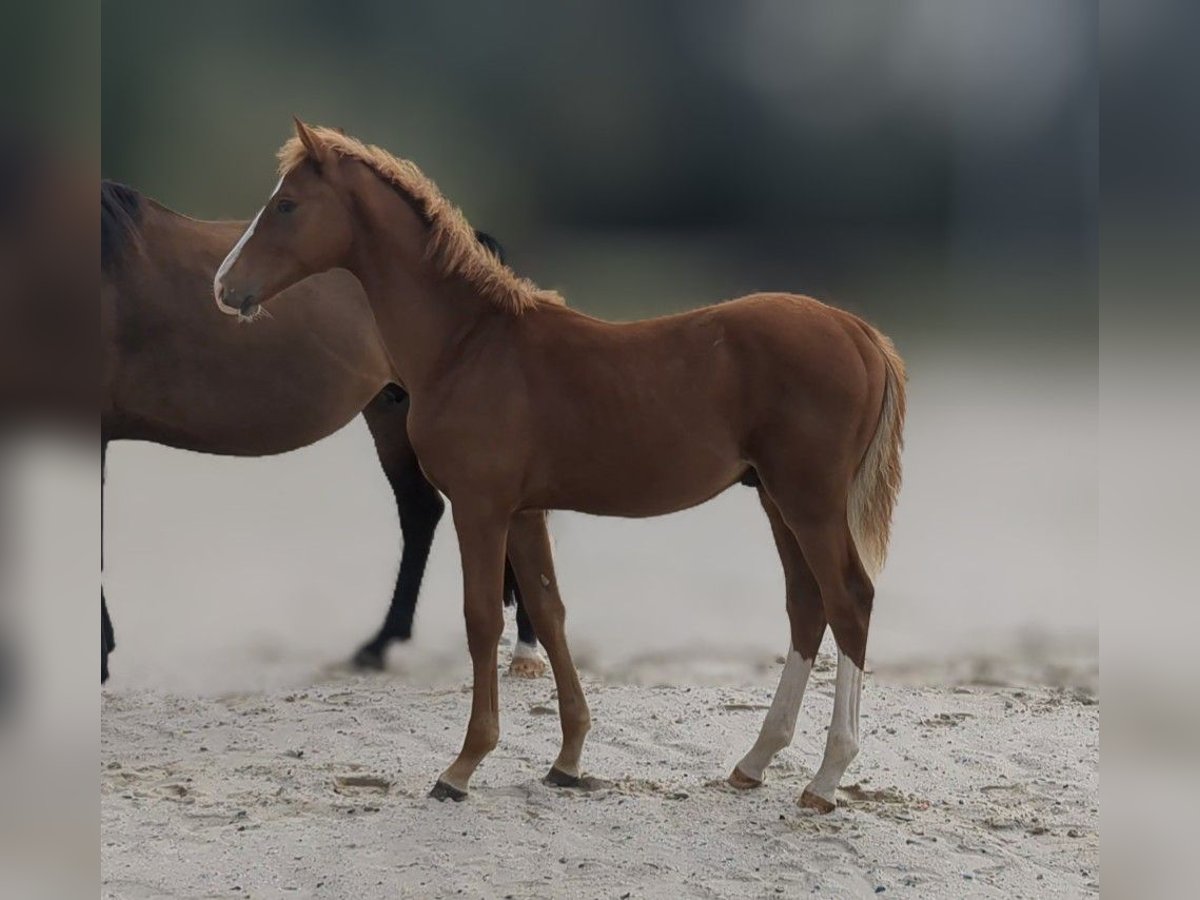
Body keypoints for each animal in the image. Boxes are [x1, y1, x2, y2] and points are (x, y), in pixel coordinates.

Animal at [218, 121, 907, 816]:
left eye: (286, 205)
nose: (225, 287)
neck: (468, 345)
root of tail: (857, 331)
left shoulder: (481, 506)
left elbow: (482, 620)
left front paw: (463, 765)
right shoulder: (524, 512)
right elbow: (549, 614)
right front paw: (568, 759)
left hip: (809, 500)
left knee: (848, 601)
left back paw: (826, 777)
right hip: (775, 497)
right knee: (806, 605)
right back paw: (755, 761)